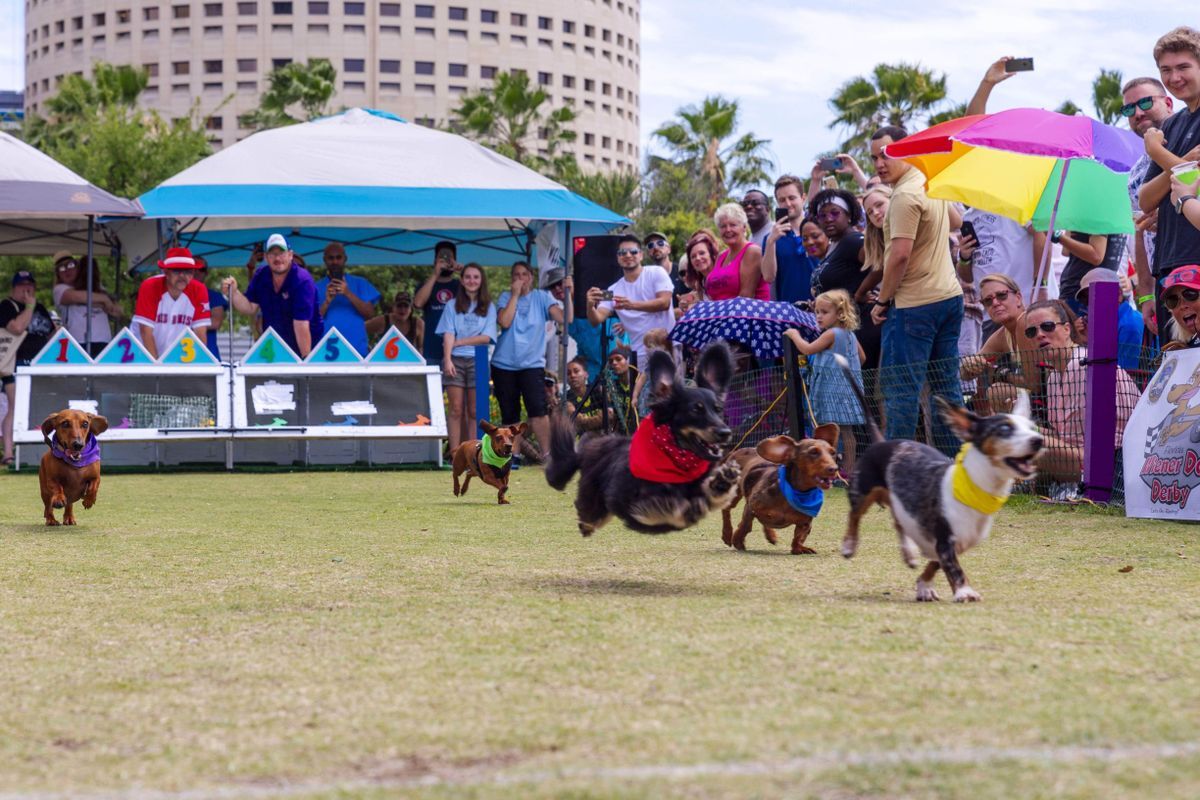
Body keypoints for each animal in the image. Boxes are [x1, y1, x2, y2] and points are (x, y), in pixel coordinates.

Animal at [547, 345, 739, 537]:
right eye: (695, 410)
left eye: (718, 409)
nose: (725, 432)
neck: (674, 456)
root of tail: (587, 448)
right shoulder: (626, 500)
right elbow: (668, 508)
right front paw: (685, 506)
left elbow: (707, 497)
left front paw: (723, 480)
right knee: (589, 519)